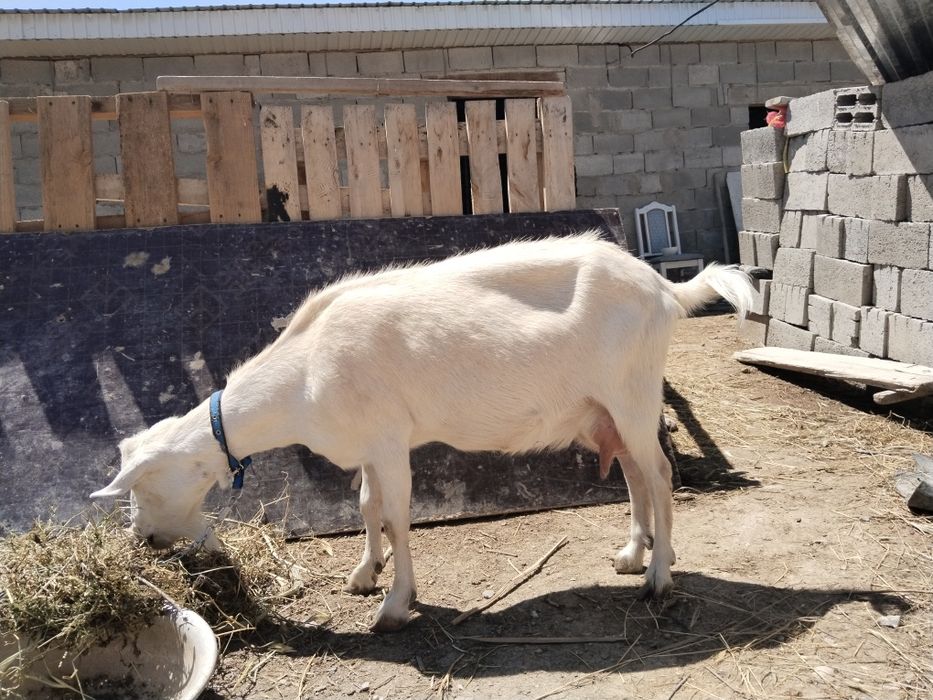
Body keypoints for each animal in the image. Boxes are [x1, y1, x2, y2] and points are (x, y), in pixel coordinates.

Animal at [91, 233, 753, 631]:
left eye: (141, 486)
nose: (144, 540)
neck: (305, 370)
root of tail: (664, 287)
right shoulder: (367, 442)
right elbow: (366, 504)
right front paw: (364, 575)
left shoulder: (389, 439)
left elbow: (398, 513)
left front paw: (394, 604)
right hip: (607, 409)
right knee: (637, 473)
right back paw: (633, 555)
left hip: (634, 392)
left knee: (660, 474)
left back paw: (660, 578)